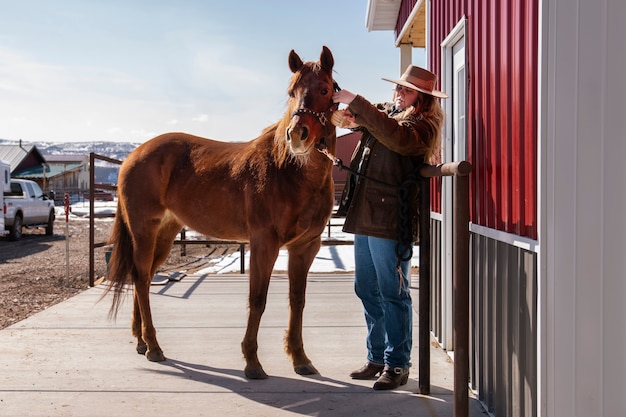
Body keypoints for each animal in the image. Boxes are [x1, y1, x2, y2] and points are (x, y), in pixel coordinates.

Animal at [102, 46, 336, 380]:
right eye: (291, 92)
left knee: (141, 278)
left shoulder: (306, 247)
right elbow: (257, 300)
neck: (287, 171)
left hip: (164, 235)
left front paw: (300, 357)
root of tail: (132, 156)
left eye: (325, 89)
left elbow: (298, 300)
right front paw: (252, 362)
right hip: (144, 232)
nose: (297, 135)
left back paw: (141, 341)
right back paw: (154, 347)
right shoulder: (264, 244)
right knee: (142, 279)